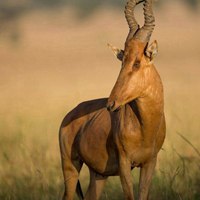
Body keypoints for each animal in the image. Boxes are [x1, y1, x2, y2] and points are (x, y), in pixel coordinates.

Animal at [59, 0, 166, 199]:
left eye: (137, 62)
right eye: (122, 61)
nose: (111, 104)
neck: (144, 127)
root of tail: (69, 115)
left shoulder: (149, 163)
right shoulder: (125, 164)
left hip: (99, 174)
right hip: (70, 166)